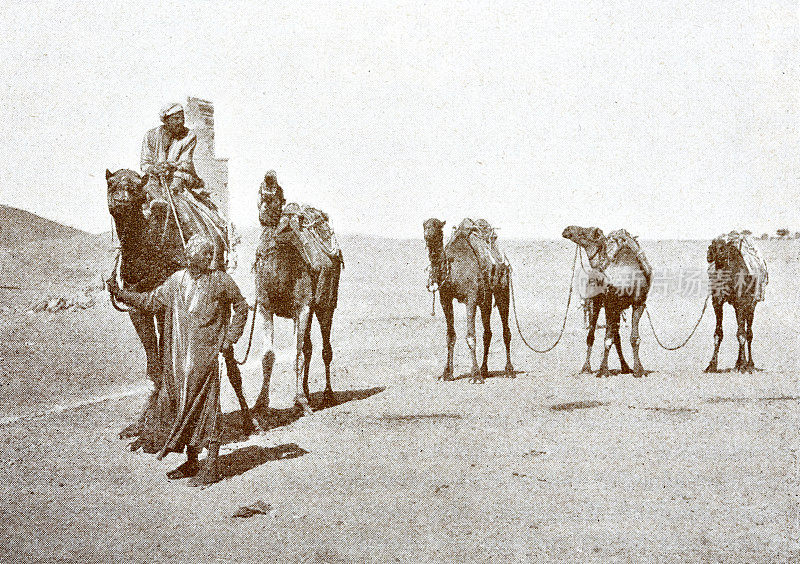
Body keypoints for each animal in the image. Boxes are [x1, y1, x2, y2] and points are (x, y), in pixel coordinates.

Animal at [104, 167, 256, 440]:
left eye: (134, 189)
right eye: (111, 185)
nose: (119, 201)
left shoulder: (170, 300)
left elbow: (168, 357)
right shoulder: (139, 303)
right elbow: (154, 361)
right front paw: (142, 424)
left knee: (228, 356)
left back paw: (248, 420)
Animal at [424, 217, 512, 384]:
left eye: (438, 227)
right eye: (424, 226)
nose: (428, 235)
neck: (452, 267)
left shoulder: (470, 298)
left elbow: (471, 337)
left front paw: (475, 376)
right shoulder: (445, 298)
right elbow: (450, 336)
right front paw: (447, 373)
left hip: (503, 290)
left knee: (506, 331)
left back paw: (508, 370)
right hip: (485, 298)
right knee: (487, 333)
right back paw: (484, 370)